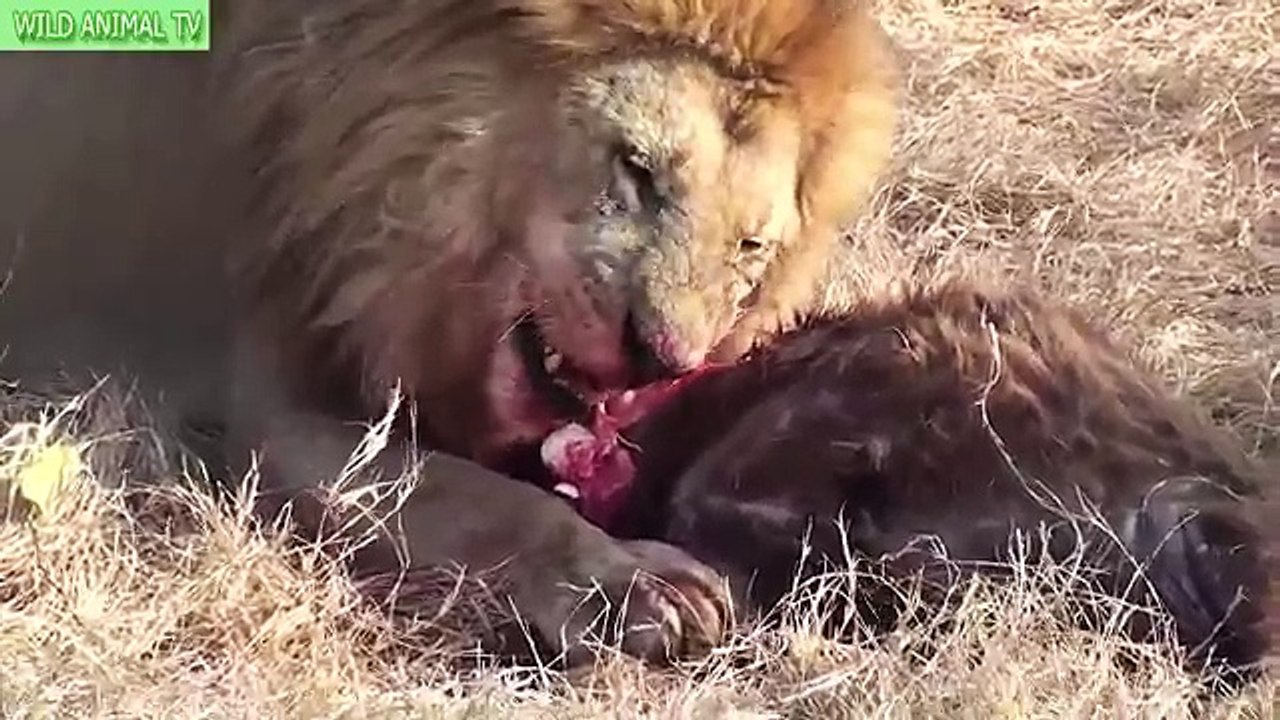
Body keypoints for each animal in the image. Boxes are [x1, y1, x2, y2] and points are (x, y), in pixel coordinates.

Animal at [199, 0, 900, 663]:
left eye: (749, 245)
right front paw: (633, 586)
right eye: (636, 169)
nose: (663, 358)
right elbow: (476, 498)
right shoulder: (271, 404)